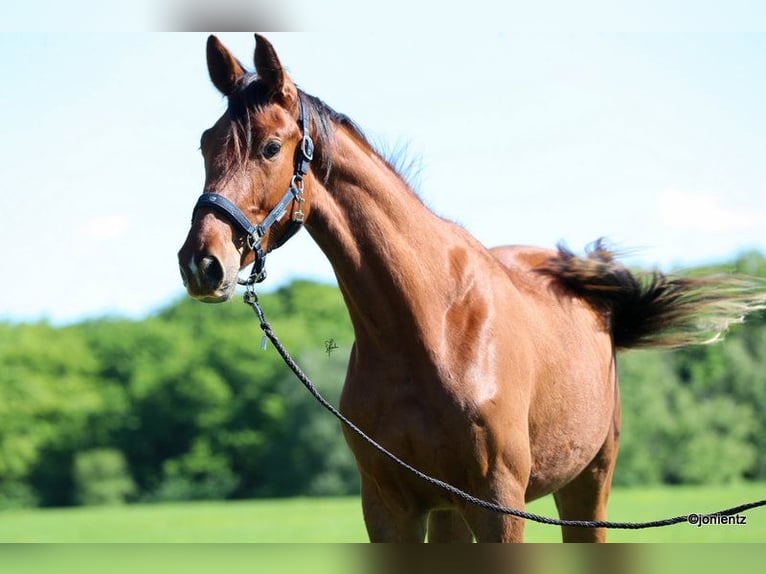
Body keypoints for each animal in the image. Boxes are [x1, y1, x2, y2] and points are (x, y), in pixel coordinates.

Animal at [178, 34, 766, 542]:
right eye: (205, 144)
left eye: (271, 147)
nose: (201, 264)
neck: (429, 327)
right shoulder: (390, 507)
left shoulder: (500, 506)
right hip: (451, 513)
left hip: (586, 487)